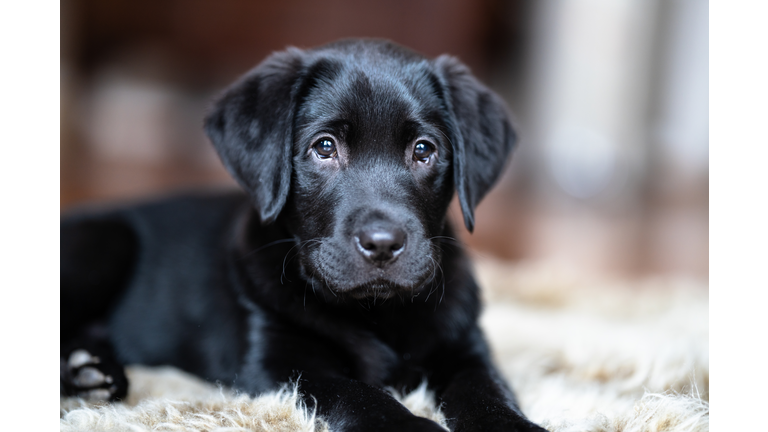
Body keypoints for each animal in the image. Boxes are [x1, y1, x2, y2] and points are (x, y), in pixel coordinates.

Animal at [61, 38, 544, 430]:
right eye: (324, 147)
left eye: (424, 150)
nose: (382, 244)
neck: (375, 311)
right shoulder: (280, 365)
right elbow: (360, 392)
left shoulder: (466, 348)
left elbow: (487, 390)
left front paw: (515, 427)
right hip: (106, 239)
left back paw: (93, 372)